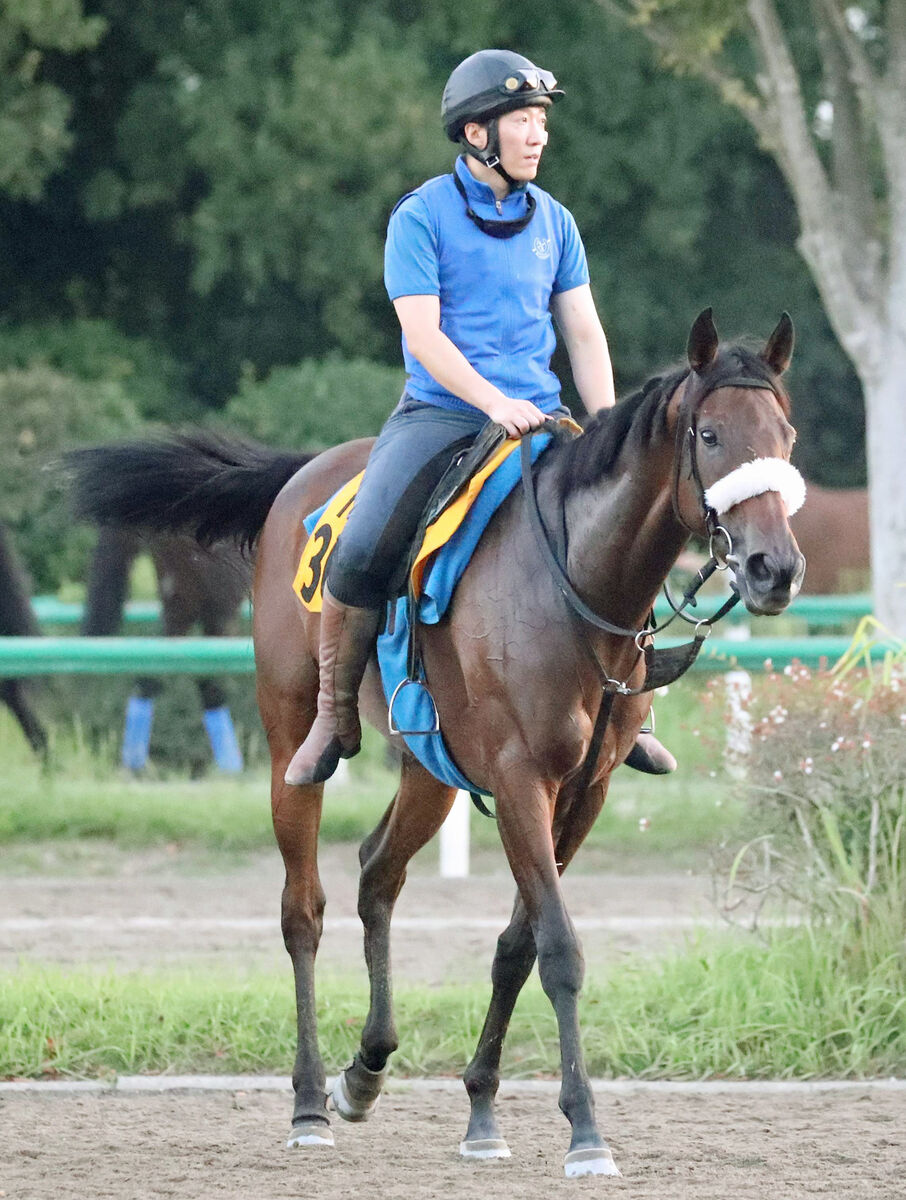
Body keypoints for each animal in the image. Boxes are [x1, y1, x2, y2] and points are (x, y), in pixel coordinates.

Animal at [70, 312, 806, 1180]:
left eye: (786, 435)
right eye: (711, 433)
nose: (773, 567)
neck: (573, 583)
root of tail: (301, 475)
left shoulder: (582, 793)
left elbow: (518, 945)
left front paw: (483, 1110)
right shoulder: (521, 778)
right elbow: (559, 948)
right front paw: (586, 1130)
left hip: (431, 770)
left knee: (377, 874)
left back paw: (366, 1068)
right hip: (291, 746)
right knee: (303, 910)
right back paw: (310, 1101)